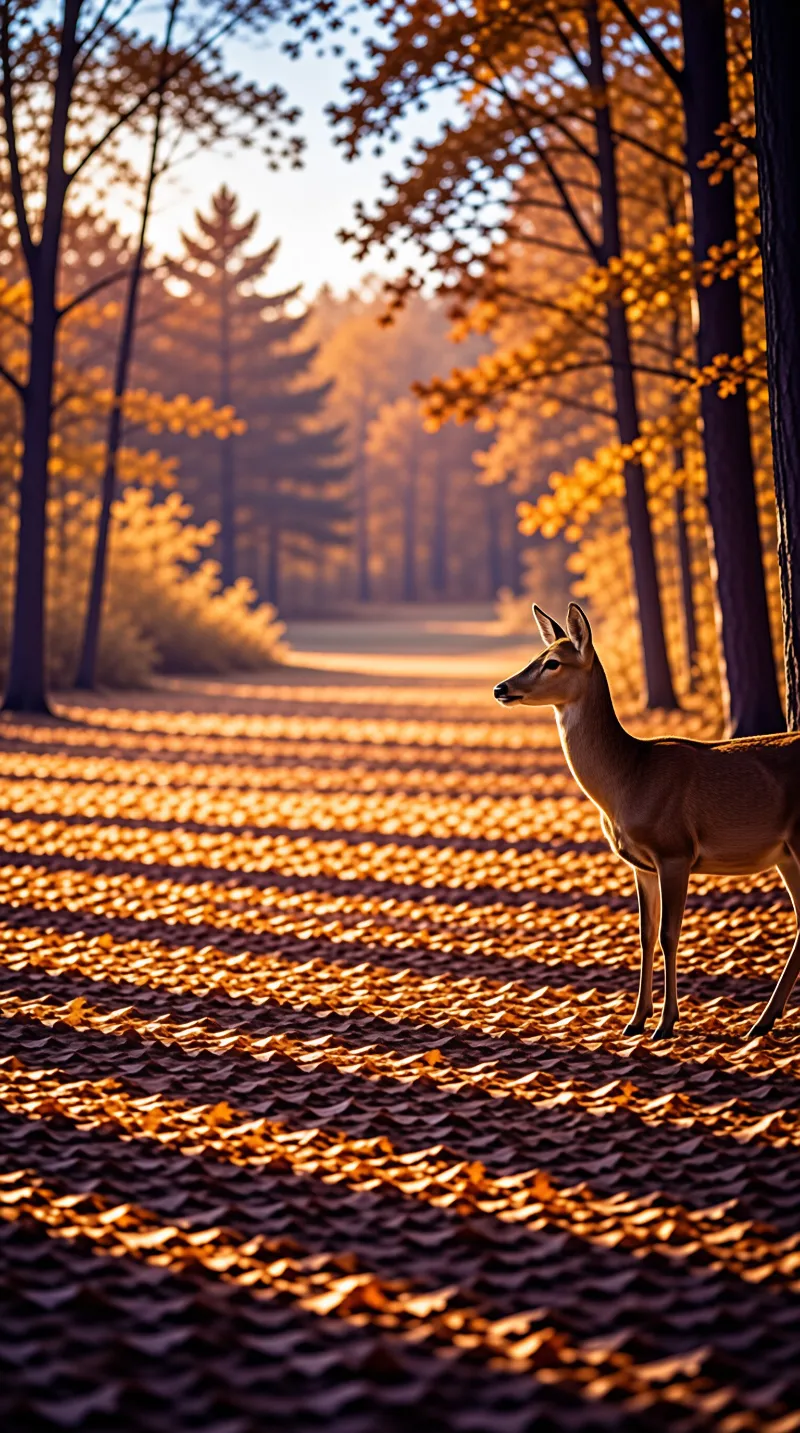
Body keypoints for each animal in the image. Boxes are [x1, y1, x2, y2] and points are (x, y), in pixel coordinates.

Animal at [493, 602, 800, 1040]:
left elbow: (669, 934)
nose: (501, 688)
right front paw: (636, 1019)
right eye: (538, 655)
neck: (630, 778)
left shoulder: (674, 850)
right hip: (785, 855)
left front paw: (666, 1023)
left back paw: (761, 1020)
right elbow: (644, 933)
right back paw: (762, 1021)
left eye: (552, 663)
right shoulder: (641, 865)